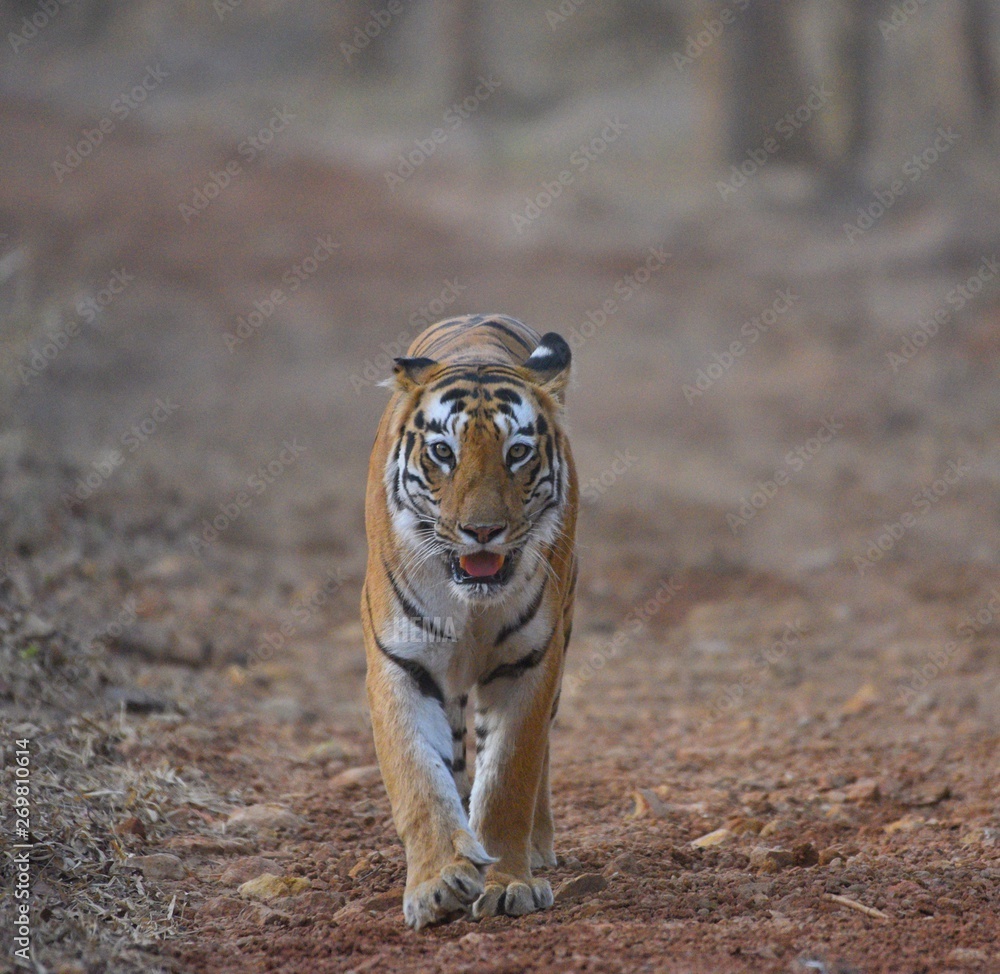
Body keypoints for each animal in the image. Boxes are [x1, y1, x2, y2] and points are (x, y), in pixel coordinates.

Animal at [360, 313, 578, 929]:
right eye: (443, 451)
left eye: (517, 452)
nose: (482, 531)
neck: (471, 602)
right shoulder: (400, 663)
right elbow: (419, 779)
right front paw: (438, 881)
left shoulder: (531, 663)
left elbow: (508, 776)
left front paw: (508, 883)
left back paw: (534, 848)